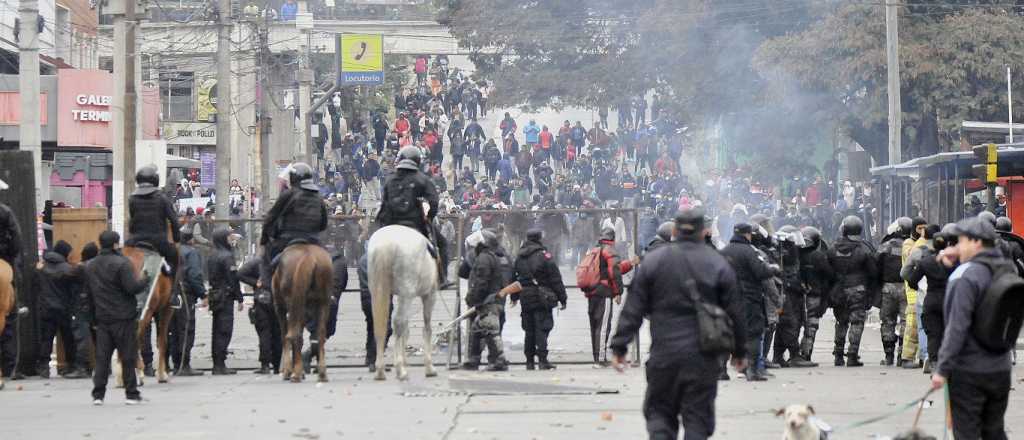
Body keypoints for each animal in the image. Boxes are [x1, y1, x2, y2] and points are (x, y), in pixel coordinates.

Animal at [118, 245, 175, 386]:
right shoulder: (167, 309)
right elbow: (162, 340)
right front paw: (162, 375)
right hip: (145, 312)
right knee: (136, 339)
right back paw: (139, 373)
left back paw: (122, 377)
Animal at [272, 242, 331, 382]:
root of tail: (309, 256)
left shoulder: (279, 308)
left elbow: (284, 336)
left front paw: (288, 370)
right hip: (323, 302)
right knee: (320, 334)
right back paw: (322, 373)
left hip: (293, 304)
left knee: (294, 334)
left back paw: (296, 373)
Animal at [370, 225, 438, 380]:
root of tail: (386, 244)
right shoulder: (429, 295)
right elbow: (427, 328)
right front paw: (429, 367)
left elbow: (406, 330)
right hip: (407, 293)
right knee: (398, 322)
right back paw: (400, 370)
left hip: (378, 290)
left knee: (380, 325)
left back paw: (380, 370)